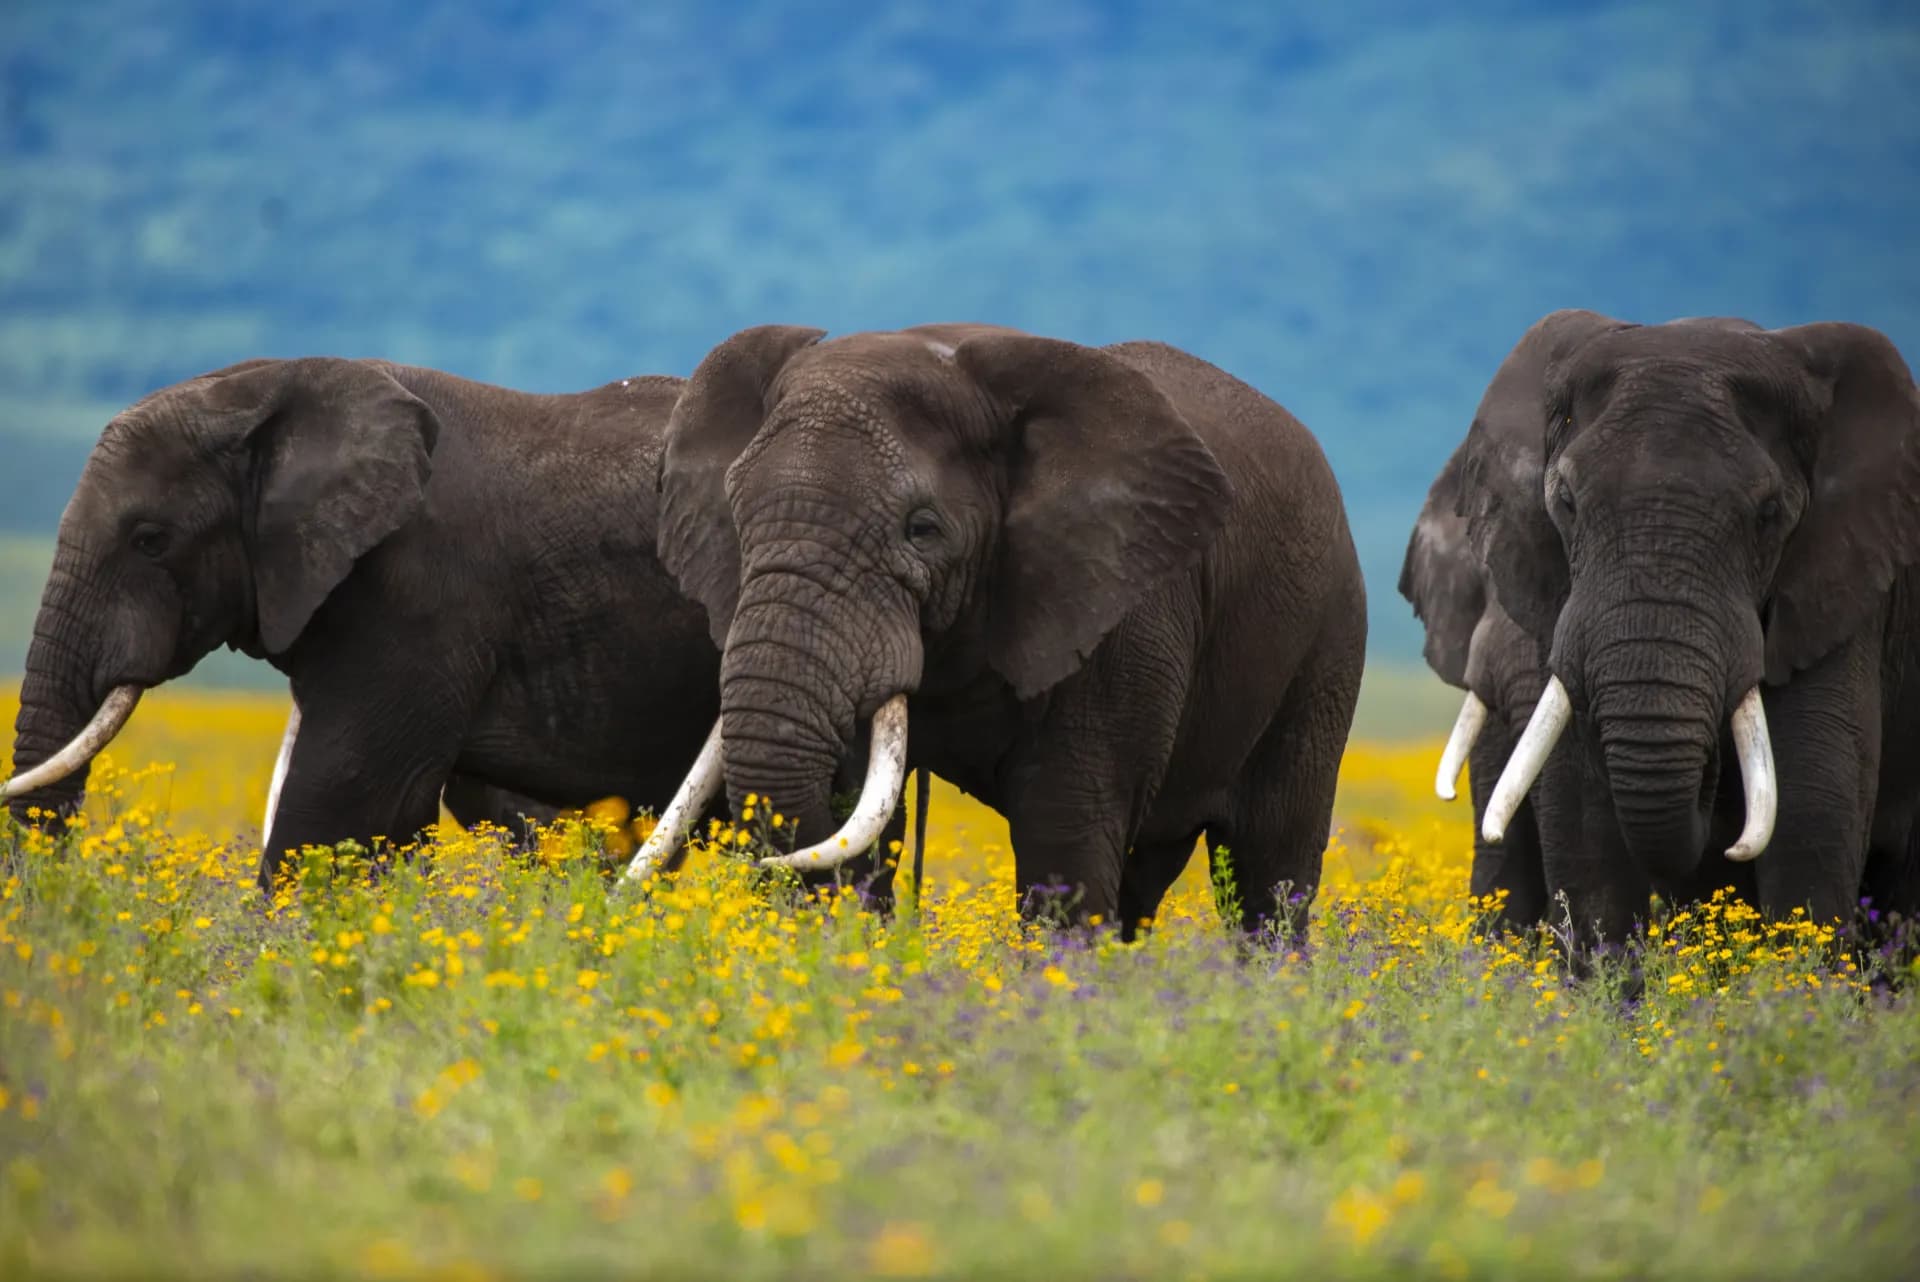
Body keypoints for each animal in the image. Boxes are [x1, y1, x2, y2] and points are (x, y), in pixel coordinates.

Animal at [626, 323, 1367, 940]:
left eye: (922, 530)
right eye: (736, 516)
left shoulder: (1118, 606)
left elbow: (1065, 832)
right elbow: (863, 820)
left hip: (1328, 641)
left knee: (1271, 867)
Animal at [1452, 310, 1920, 946]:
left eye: (1769, 514)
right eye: (1566, 502)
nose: (1711, 779)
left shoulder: (1846, 580)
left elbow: (1814, 800)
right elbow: (1581, 812)